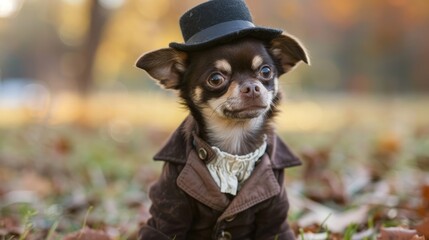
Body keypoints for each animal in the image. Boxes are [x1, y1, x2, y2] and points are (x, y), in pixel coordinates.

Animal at [135, 0, 306, 239]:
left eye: (265, 71)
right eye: (216, 79)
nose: (252, 87)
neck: (234, 143)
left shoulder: (274, 217)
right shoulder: (169, 209)